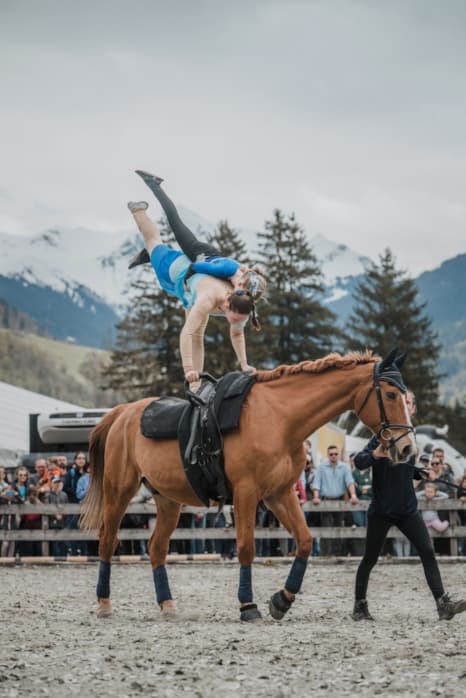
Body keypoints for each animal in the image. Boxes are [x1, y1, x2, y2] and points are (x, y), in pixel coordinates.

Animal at [80, 348, 416, 620]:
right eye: (390, 395)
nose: (407, 448)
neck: (280, 419)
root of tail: (123, 413)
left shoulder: (279, 494)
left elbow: (306, 540)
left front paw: (282, 600)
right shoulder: (246, 493)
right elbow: (245, 547)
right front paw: (248, 606)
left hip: (168, 500)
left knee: (156, 548)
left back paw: (167, 605)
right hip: (118, 491)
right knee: (108, 541)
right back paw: (104, 603)